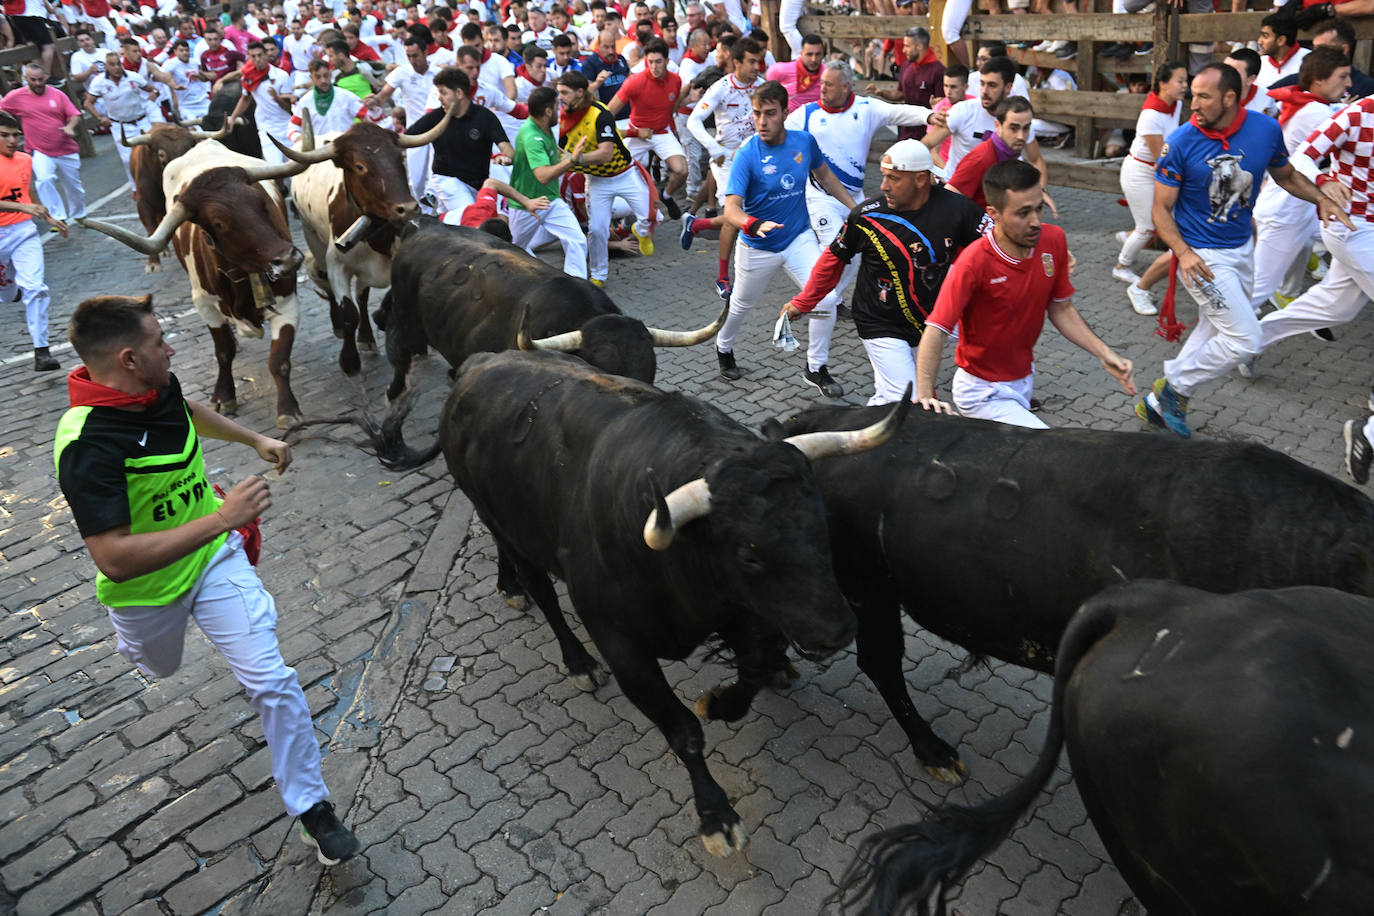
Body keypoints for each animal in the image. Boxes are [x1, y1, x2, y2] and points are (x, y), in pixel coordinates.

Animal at [439, 354, 906, 862]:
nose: (837, 629)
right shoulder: (619, 641)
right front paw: (716, 816)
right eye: (750, 555)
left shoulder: (737, 608)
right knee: (541, 590)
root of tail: (482, 362)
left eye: (823, 520)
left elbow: (756, 665)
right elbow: (683, 730)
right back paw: (576, 659)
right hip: (500, 522)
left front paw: (721, 701)